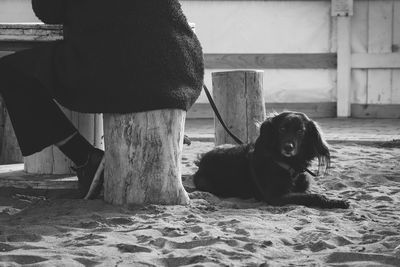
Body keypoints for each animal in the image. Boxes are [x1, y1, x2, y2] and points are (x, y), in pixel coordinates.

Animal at [195, 111, 350, 209]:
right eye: (282, 129)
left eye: (301, 131)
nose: (288, 147)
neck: (287, 164)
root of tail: (202, 160)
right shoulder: (276, 197)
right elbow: (313, 196)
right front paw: (335, 202)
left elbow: (310, 193)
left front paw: (336, 201)